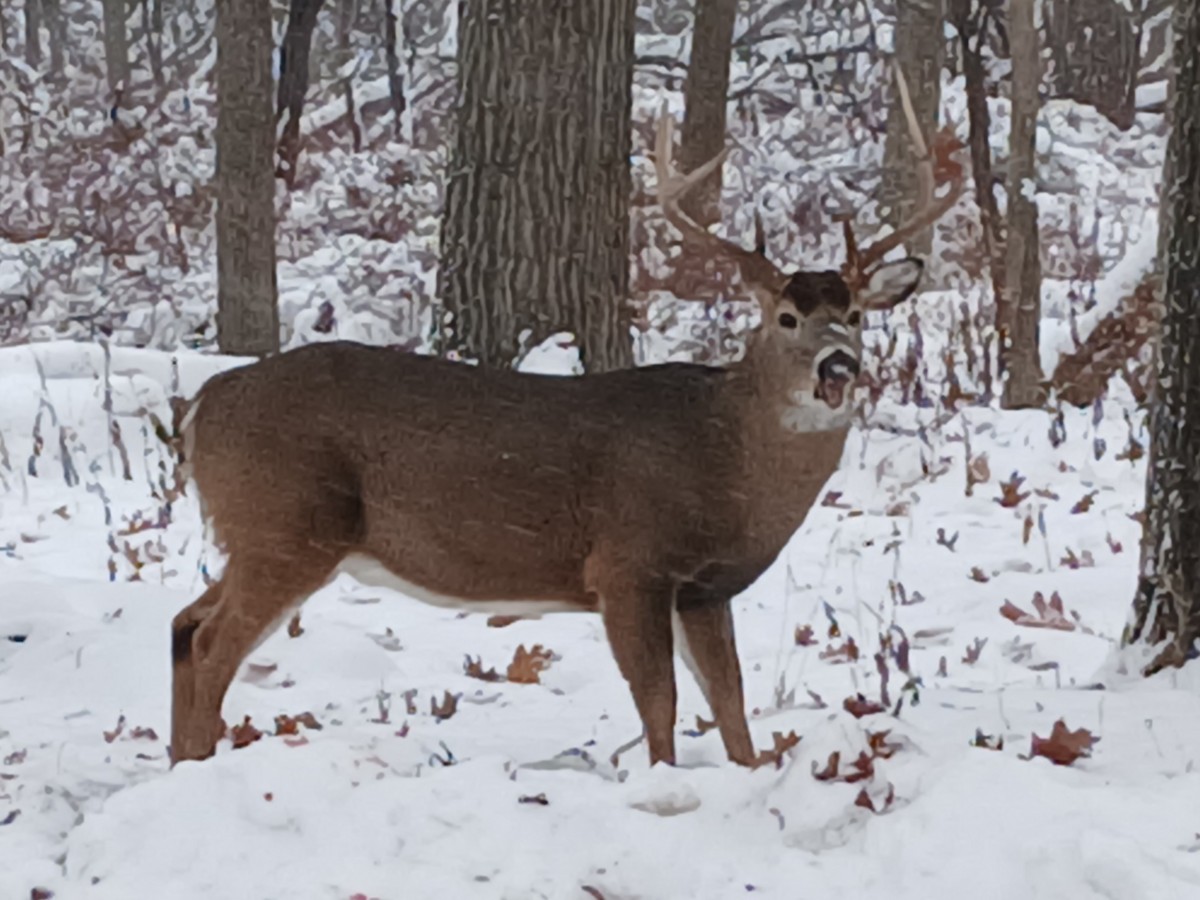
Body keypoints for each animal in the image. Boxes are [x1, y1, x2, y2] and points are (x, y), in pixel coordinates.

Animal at [170, 88, 963, 770]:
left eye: (855, 314)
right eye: (787, 318)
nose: (838, 365)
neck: (725, 460)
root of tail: (207, 400)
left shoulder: (705, 590)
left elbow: (733, 709)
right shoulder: (628, 563)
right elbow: (660, 705)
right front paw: (664, 784)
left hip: (260, 535)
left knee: (184, 623)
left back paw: (180, 761)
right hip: (285, 526)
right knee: (211, 643)